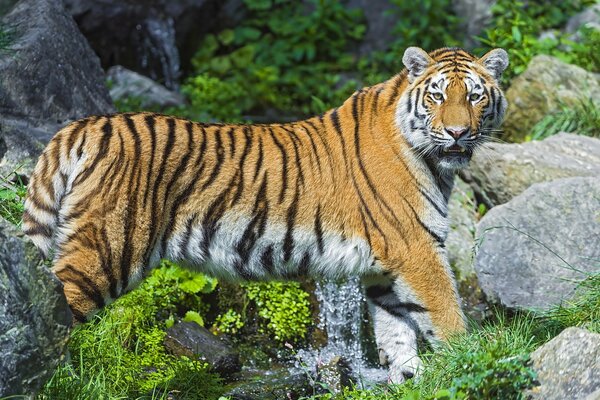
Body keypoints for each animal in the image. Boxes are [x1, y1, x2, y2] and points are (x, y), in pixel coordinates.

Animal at [24, 46, 506, 382]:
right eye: (438, 96)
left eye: (476, 96)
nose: (458, 132)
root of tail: (86, 124)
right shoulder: (416, 248)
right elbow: (447, 313)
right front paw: (472, 359)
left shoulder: (384, 269)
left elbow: (397, 329)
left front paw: (411, 378)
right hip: (105, 248)